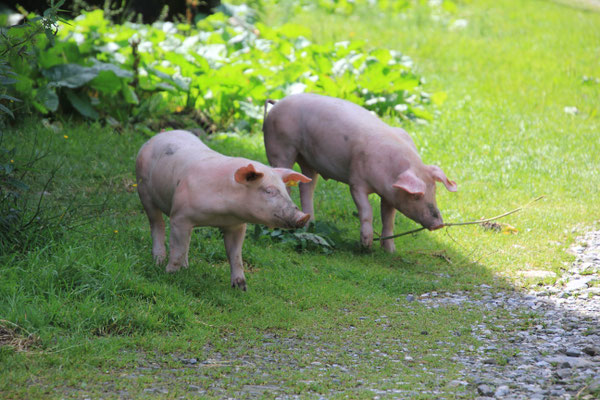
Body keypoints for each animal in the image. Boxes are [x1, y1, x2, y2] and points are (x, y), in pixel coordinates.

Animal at [136, 131, 312, 290]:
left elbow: (235, 255)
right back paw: (158, 262)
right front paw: (170, 275)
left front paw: (241, 288)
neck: (221, 215)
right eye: (269, 191)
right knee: (157, 224)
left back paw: (185, 267)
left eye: (285, 191)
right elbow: (177, 249)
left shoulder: (237, 225)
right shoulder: (179, 216)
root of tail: (158, 135)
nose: (303, 216)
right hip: (143, 189)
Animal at [264, 92, 458, 252]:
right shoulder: (356, 182)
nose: (439, 224)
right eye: (416, 196)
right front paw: (366, 245)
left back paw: (309, 225)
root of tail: (278, 102)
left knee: (307, 187)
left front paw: (390, 251)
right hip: (280, 146)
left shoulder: (390, 195)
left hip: (308, 161)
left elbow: (389, 218)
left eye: (434, 190)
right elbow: (367, 211)